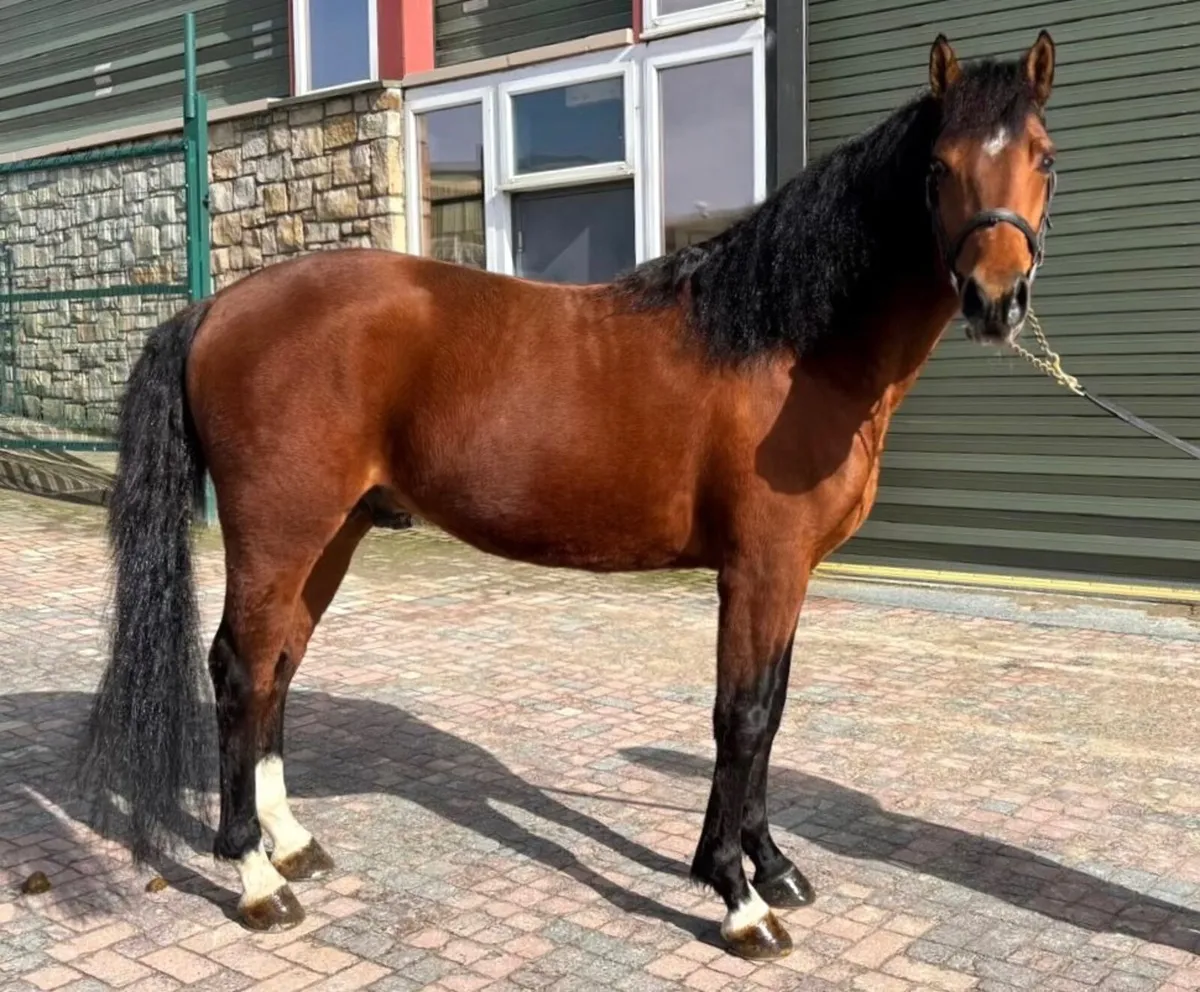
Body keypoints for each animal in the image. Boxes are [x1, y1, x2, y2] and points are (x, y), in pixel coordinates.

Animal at [74, 30, 1060, 959]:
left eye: (1044, 157)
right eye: (938, 168)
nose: (996, 298)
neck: (788, 345)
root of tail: (217, 308)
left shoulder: (788, 574)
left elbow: (769, 712)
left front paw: (768, 865)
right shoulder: (759, 568)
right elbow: (739, 718)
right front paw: (737, 898)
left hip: (334, 533)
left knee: (278, 667)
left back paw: (290, 842)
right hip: (279, 532)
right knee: (241, 672)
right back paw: (254, 877)